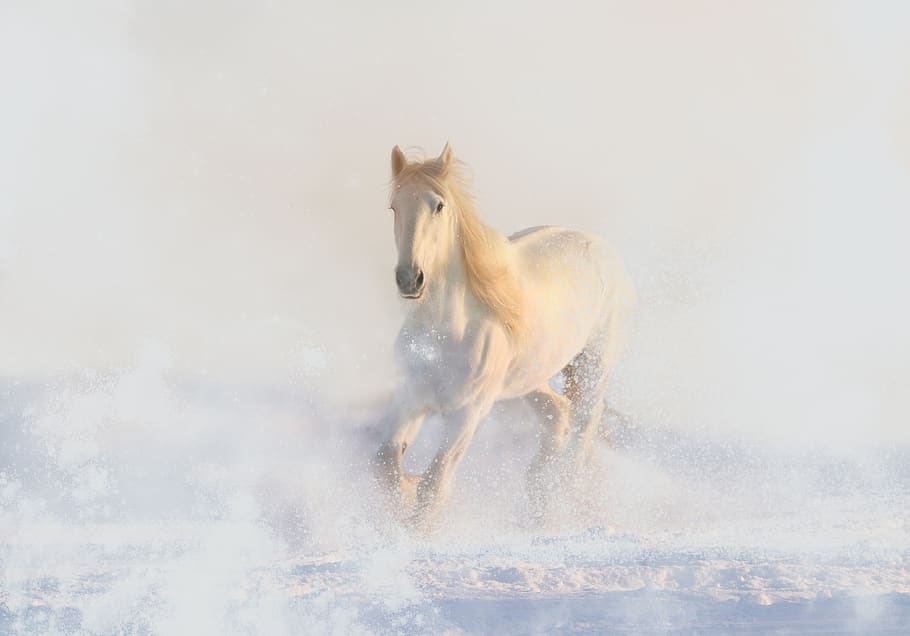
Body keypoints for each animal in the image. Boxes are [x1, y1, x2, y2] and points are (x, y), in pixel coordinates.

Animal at [373, 143, 636, 528]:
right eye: (394, 206)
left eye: (439, 205)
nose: (410, 279)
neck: (446, 334)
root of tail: (601, 248)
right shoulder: (411, 398)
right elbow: (385, 465)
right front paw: (403, 501)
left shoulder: (468, 413)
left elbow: (435, 486)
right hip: (529, 380)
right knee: (559, 416)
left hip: (593, 367)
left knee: (582, 433)